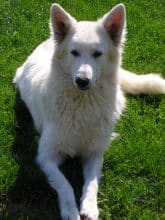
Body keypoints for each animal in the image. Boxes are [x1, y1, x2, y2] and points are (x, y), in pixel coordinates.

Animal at [13, 3, 165, 220]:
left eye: (97, 54)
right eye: (74, 53)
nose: (82, 81)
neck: (83, 104)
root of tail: (48, 41)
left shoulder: (94, 154)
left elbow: (91, 184)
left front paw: (90, 207)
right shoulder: (46, 156)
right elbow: (65, 184)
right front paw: (70, 210)